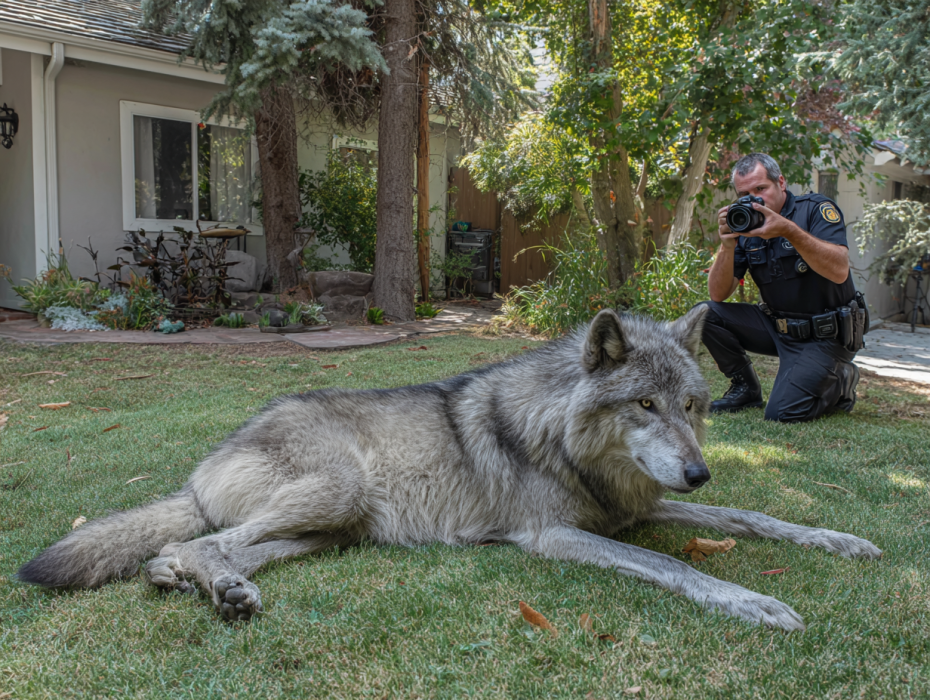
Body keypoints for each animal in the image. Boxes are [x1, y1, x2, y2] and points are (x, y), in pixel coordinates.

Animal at [18, 306, 881, 630]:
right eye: (645, 406)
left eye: (696, 408)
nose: (698, 472)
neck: (562, 438)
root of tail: (203, 467)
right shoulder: (560, 538)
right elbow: (675, 567)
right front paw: (753, 601)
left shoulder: (641, 508)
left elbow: (751, 517)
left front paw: (841, 541)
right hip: (339, 492)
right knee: (201, 540)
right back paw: (209, 584)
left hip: (333, 531)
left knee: (205, 548)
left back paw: (194, 581)